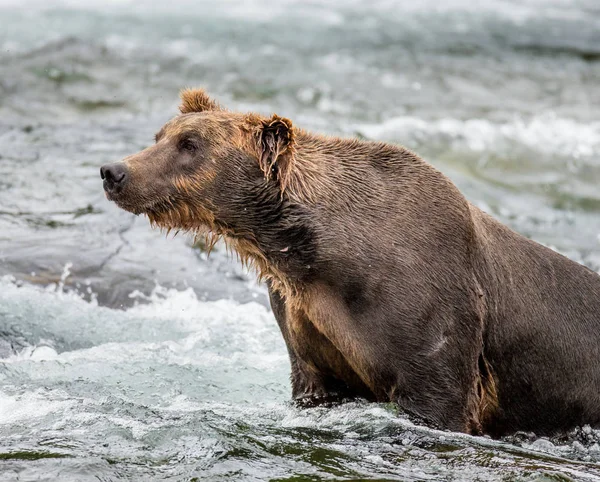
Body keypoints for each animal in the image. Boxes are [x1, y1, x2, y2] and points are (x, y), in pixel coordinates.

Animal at [101, 87, 600, 436]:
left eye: (191, 143)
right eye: (161, 135)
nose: (114, 171)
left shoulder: (434, 313)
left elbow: (441, 398)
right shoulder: (306, 321)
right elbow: (312, 380)